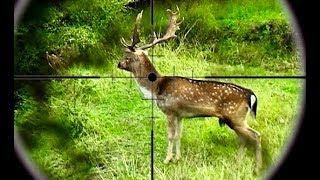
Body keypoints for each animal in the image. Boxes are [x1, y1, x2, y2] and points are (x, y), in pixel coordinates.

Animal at [117, 7, 262, 173]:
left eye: (126, 56)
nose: (118, 63)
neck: (156, 88)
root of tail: (250, 94)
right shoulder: (180, 115)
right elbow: (179, 135)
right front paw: (177, 158)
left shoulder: (170, 111)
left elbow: (170, 136)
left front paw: (167, 159)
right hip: (236, 119)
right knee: (244, 138)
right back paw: (238, 164)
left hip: (235, 116)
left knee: (256, 136)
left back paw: (257, 167)